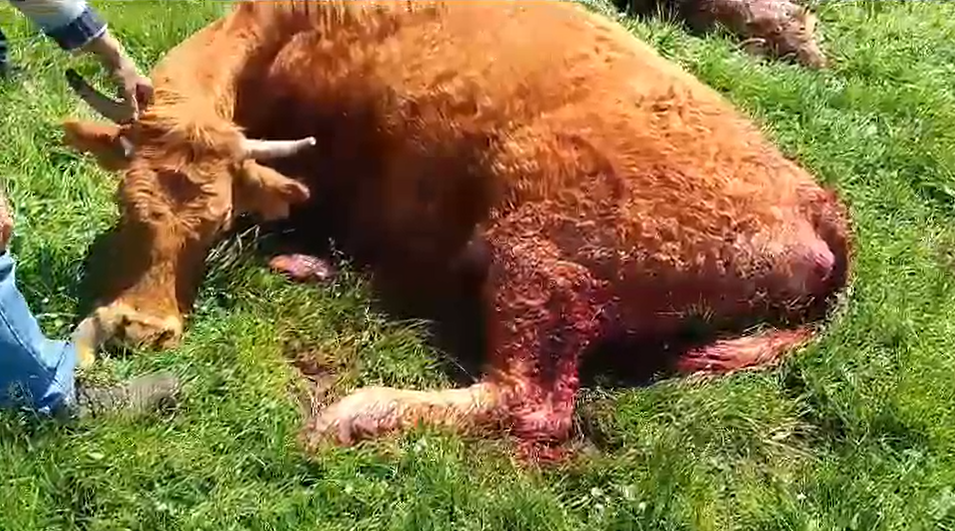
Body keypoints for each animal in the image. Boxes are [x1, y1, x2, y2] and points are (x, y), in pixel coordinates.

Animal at [60, 0, 852, 461]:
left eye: (220, 219)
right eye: (127, 204)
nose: (140, 328)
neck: (294, 30)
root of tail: (816, 200)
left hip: (534, 257)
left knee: (529, 400)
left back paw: (352, 413)